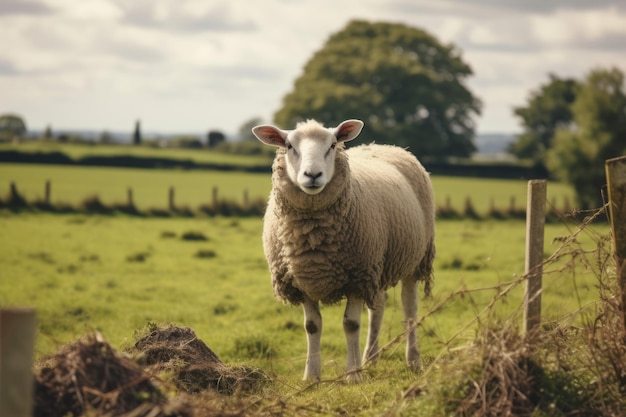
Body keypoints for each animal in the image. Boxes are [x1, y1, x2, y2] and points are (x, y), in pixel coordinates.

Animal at [250, 118, 434, 380]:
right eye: (289, 145)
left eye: (332, 145)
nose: (313, 175)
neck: (313, 236)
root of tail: (384, 145)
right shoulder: (302, 277)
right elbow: (312, 326)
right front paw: (311, 376)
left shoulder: (357, 276)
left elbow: (351, 325)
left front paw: (353, 375)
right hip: (377, 263)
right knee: (378, 307)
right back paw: (370, 359)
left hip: (413, 259)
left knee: (409, 309)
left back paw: (413, 360)